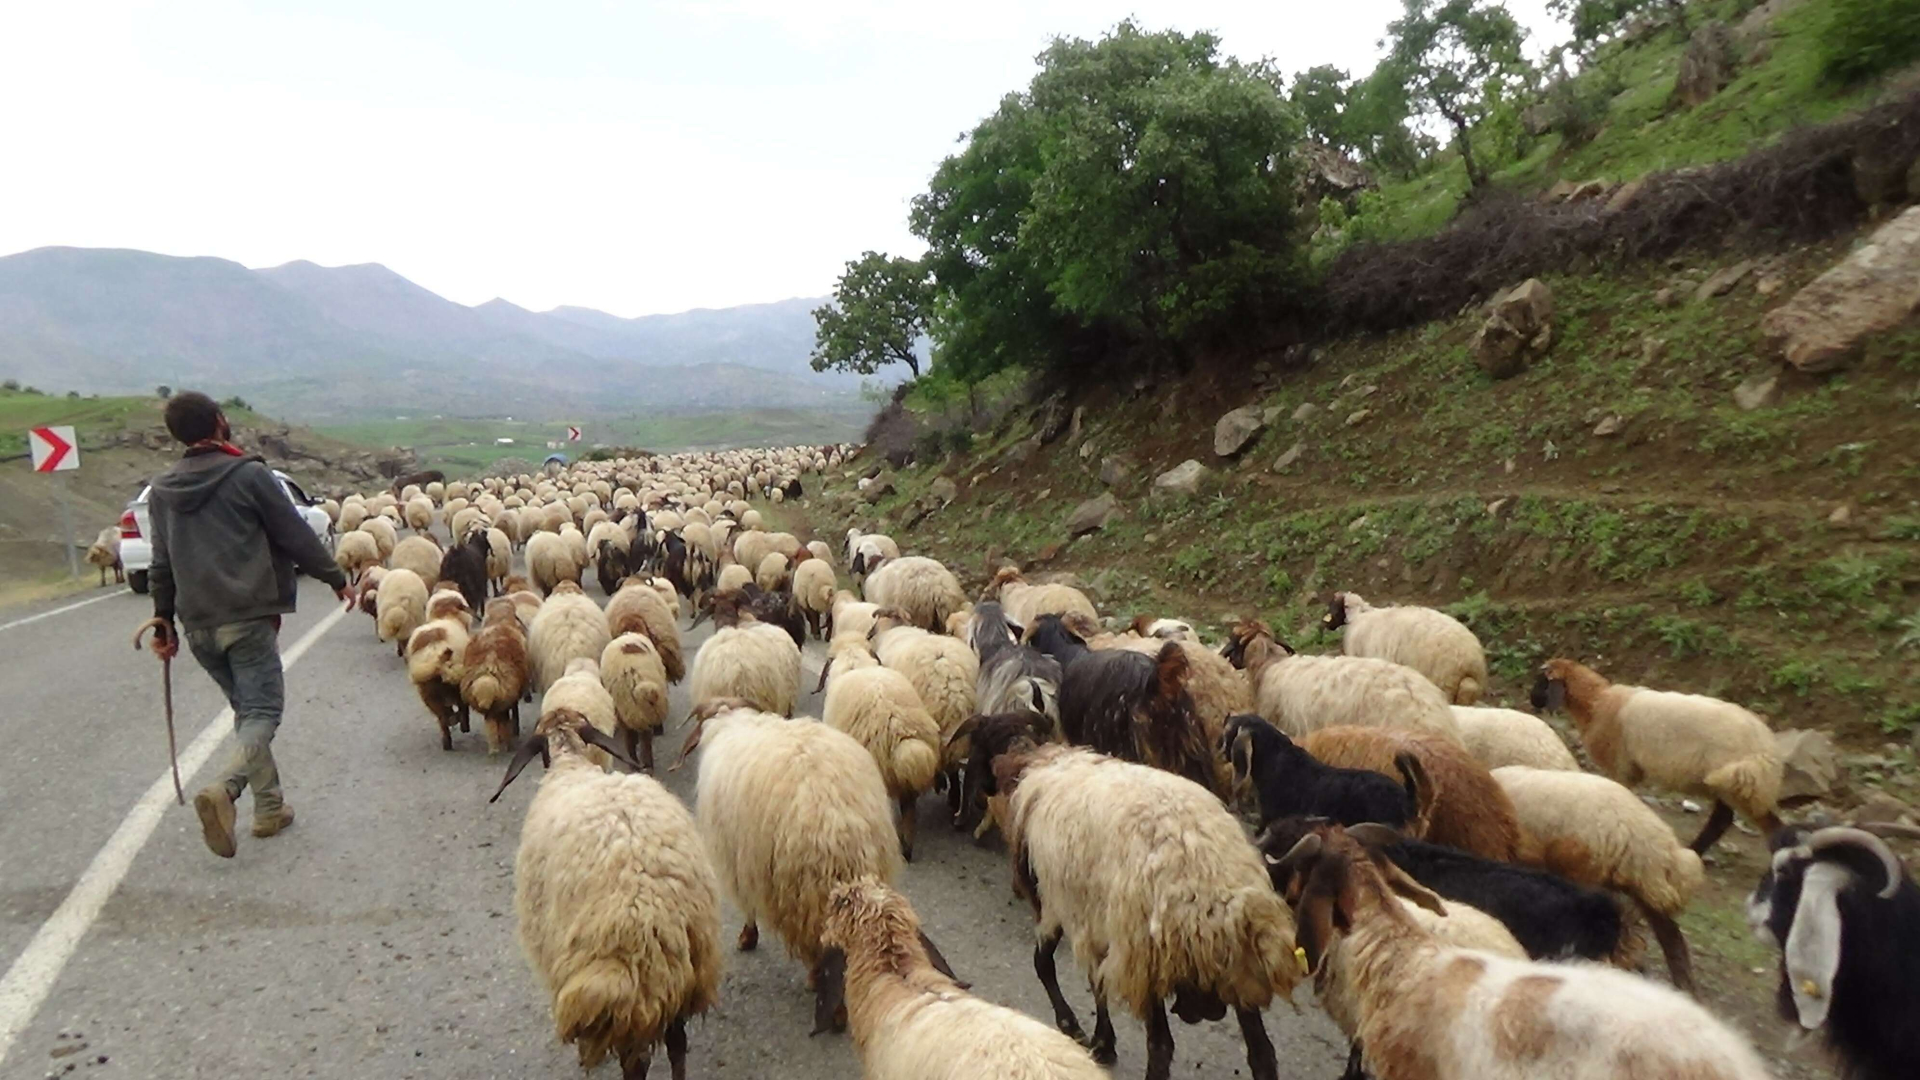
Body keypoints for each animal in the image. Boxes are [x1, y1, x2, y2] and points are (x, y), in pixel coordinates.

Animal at [463, 598, 530, 754]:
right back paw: (505, 744)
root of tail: (490, 662)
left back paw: (494, 747)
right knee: (501, 720)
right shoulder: (510, 697)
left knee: (491, 722)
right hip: (504, 697)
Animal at [488, 708, 721, 1080]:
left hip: (625, 981)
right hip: (689, 968)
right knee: (677, 1043)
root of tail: (653, 909)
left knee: (637, 1060)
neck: (571, 763)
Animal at [600, 633, 670, 773]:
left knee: (631, 739)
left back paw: (635, 764)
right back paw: (645, 765)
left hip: (623, 707)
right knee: (642, 740)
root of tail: (631, 672)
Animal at [676, 699, 901, 1026]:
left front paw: (747, 937)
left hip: (799, 891)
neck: (730, 721)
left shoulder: (737, 859)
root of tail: (840, 824)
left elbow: (747, 906)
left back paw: (822, 991)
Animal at [1533, 657, 1783, 854]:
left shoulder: (1621, 766)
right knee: (1723, 821)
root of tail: (1767, 744)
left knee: (1764, 824)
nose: (1532, 700)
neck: (1597, 703)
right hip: (1731, 784)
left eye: (1542, 681)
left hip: (1738, 783)